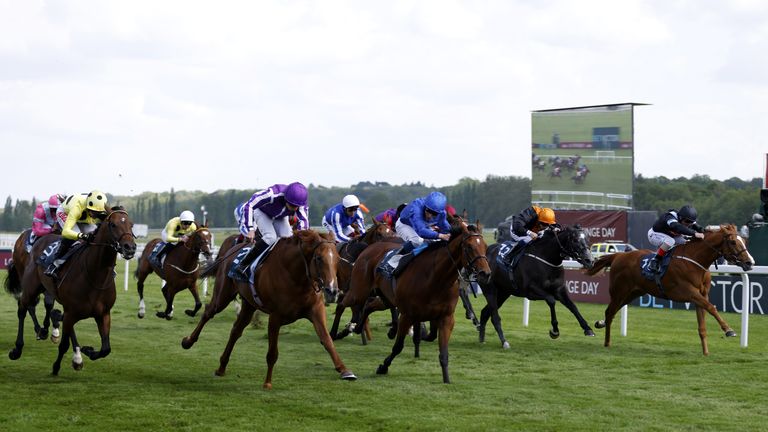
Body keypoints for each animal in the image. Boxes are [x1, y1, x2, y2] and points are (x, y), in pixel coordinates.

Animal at [6, 208, 136, 372]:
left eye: (131, 225)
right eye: (113, 224)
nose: (130, 247)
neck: (96, 275)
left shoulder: (103, 314)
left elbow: (106, 348)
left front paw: (87, 351)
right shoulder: (71, 312)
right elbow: (64, 344)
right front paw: (56, 367)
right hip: (30, 287)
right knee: (23, 308)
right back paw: (18, 348)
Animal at [181, 231, 356, 390]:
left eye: (337, 259)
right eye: (318, 258)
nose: (332, 291)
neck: (297, 277)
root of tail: (233, 249)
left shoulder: (316, 311)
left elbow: (327, 340)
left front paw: (344, 370)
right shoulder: (275, 316)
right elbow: (272, 353)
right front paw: (267, 382)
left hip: (249, 304)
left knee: (236, 330)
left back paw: (222, 367)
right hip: (223, 295)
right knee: (208, 312)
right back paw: (188, 341)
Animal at [344, 218, 488, 384]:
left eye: (485, 246)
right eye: (469, 247)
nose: (485, 273)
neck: (436, 278)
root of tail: (370, 247)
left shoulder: (446, 317)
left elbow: (442, 351)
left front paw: (446, 379)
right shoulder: (408, 315)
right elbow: (398, 346)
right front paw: (383, 367)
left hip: (387, 299)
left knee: (369, 305)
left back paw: (359, 327)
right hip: (359, 292)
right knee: (344, 302)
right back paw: (339, 332)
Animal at [584, 223, 752, 354]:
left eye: (744, 241)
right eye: (732, 242)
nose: (750, 262)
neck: (694, 260)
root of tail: (617, 255)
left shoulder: (701, 296)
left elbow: (702, 326)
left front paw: (706, 352)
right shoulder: (689, 293)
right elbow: (712, 307)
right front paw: (729, 330)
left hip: (633, 293)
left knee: (613, 312)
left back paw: (601, 323)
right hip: (619, 292)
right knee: (610, 312)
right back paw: (607, 342)